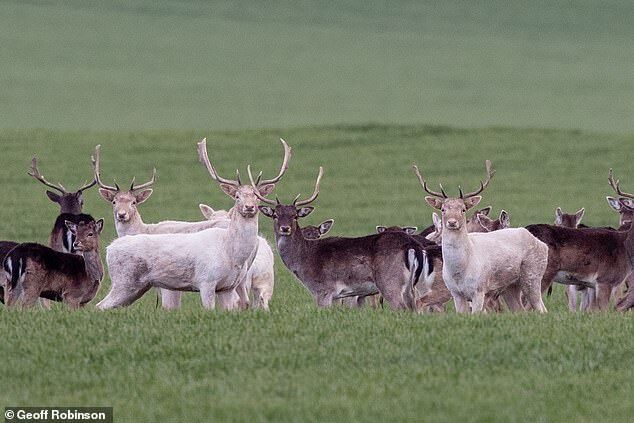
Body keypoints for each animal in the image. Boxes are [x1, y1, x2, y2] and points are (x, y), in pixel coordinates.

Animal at [97, 139, 288, 312]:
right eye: (237, 196)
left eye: (257, 196)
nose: (249, 207)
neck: (230, 251)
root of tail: (109, 248)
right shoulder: (206, 281)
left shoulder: (226, 287)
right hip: (124, 281)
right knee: (100, 305)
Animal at [249, 166, 422, 312]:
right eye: (275, 215)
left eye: (295, 215)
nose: (285, 228)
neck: (304, 260)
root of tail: (412, 245)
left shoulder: (324, 290)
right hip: (411, 286)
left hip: (389, 281)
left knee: (401, 308)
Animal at [414, 161, 548, 314]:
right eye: (443, 209)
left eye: (463, 209)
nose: (452, 222)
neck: (460, 270)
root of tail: (542, 245)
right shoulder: (456, 293)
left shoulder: (479, 290)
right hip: (510, 286)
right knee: (519, 309)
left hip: (533, 275)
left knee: (541, 308)